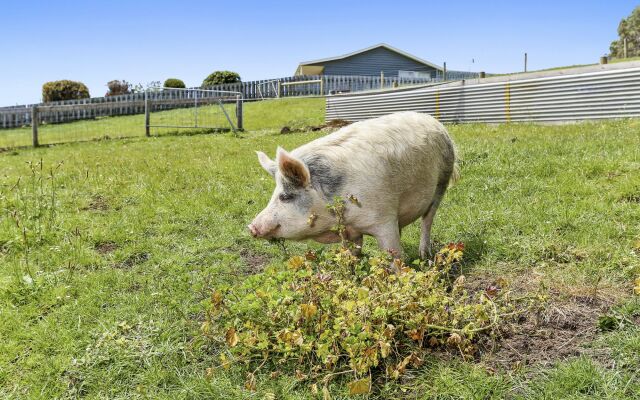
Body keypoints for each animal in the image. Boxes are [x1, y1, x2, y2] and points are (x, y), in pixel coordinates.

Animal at [248, 110, 458, 260]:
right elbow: (352, 254)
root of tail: (435, 122)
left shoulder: (383, 220)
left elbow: (394, 255)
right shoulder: (351, 230)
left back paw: (425, 255)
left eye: (285, 196)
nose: (251, 227)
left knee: (427, 220)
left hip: (442, 182)